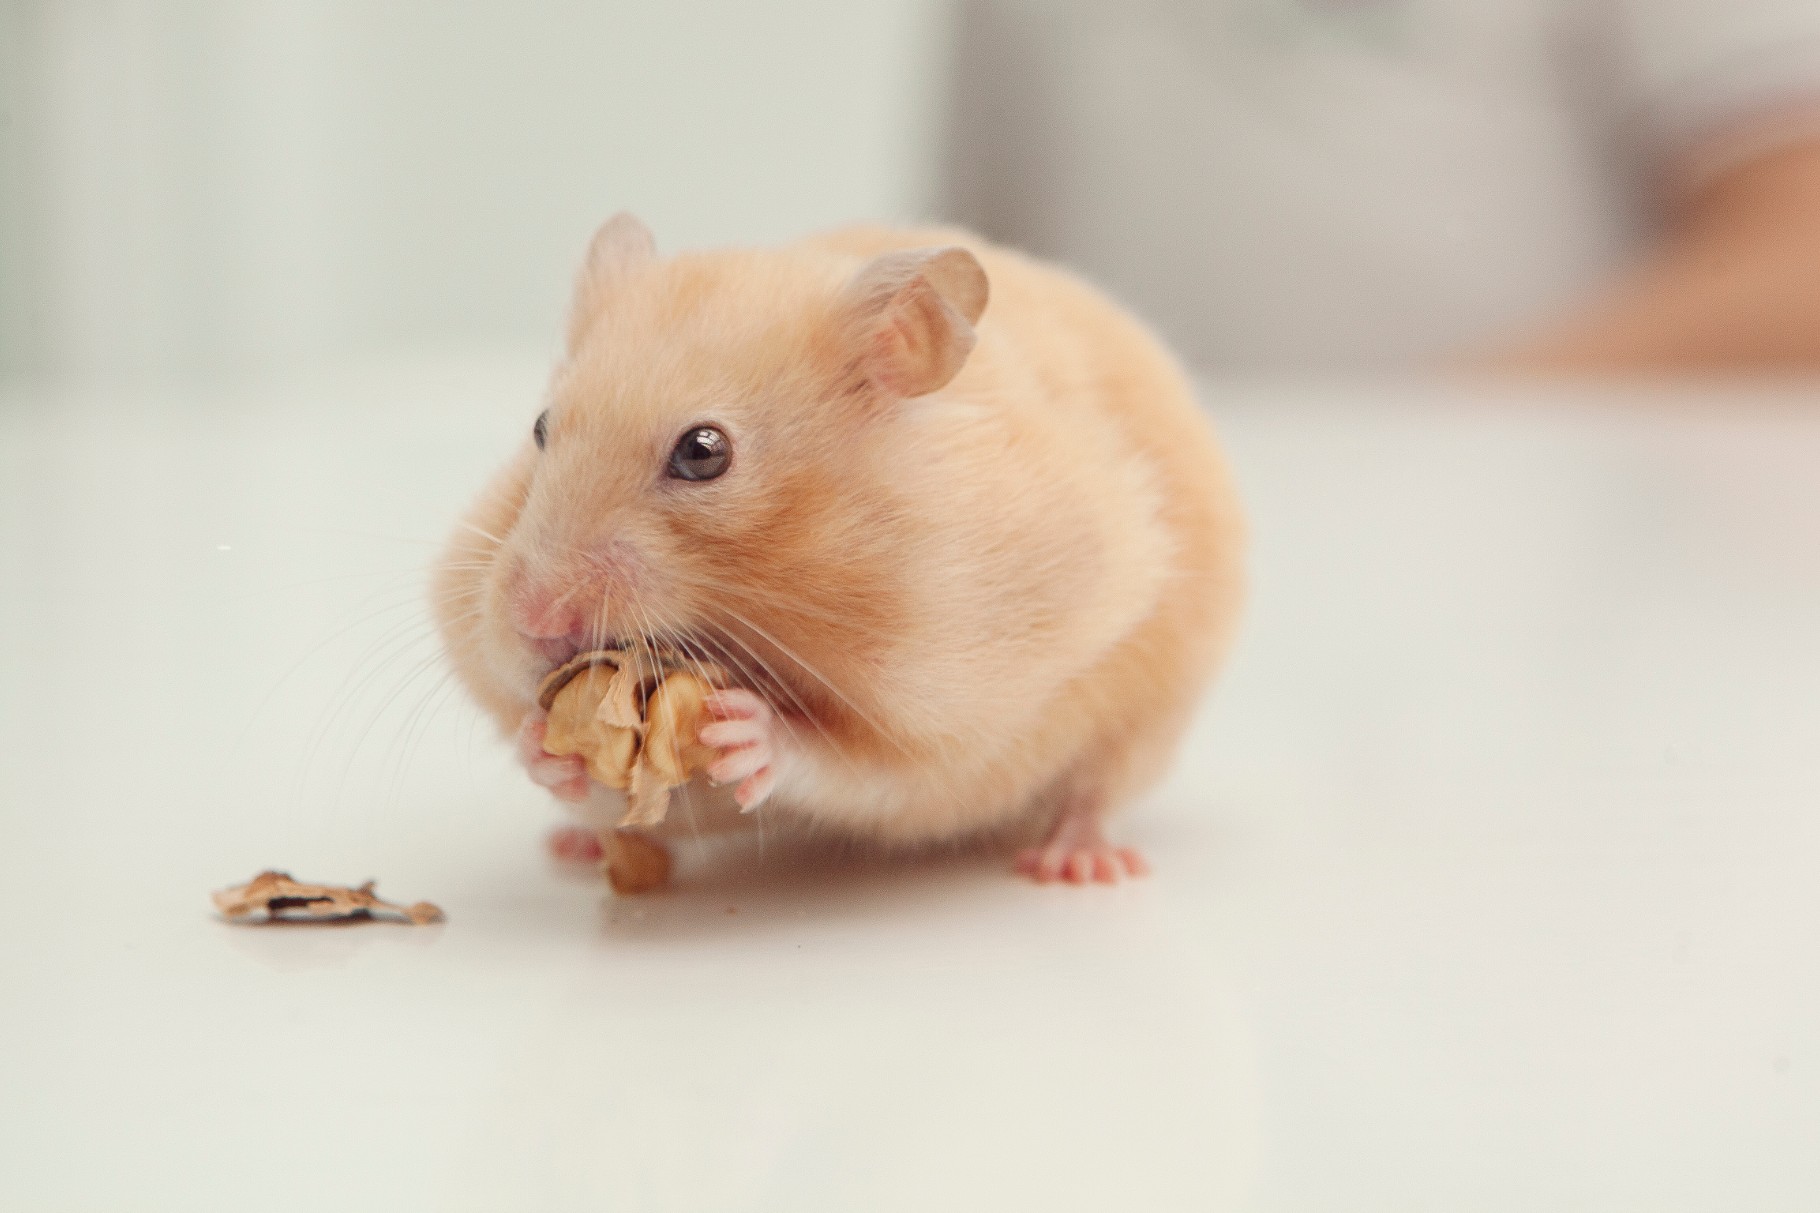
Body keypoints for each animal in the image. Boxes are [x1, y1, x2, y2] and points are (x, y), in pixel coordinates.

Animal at [432, 214, 1244, 888]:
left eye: (703, 451)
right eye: (541, 428)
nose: (534, 621)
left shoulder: (961, 709)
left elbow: (858, 767)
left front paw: (751, 730)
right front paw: (544, 747)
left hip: (1152, 708)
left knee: (1096, 791)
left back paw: (1080, 865)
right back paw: (570, 847)